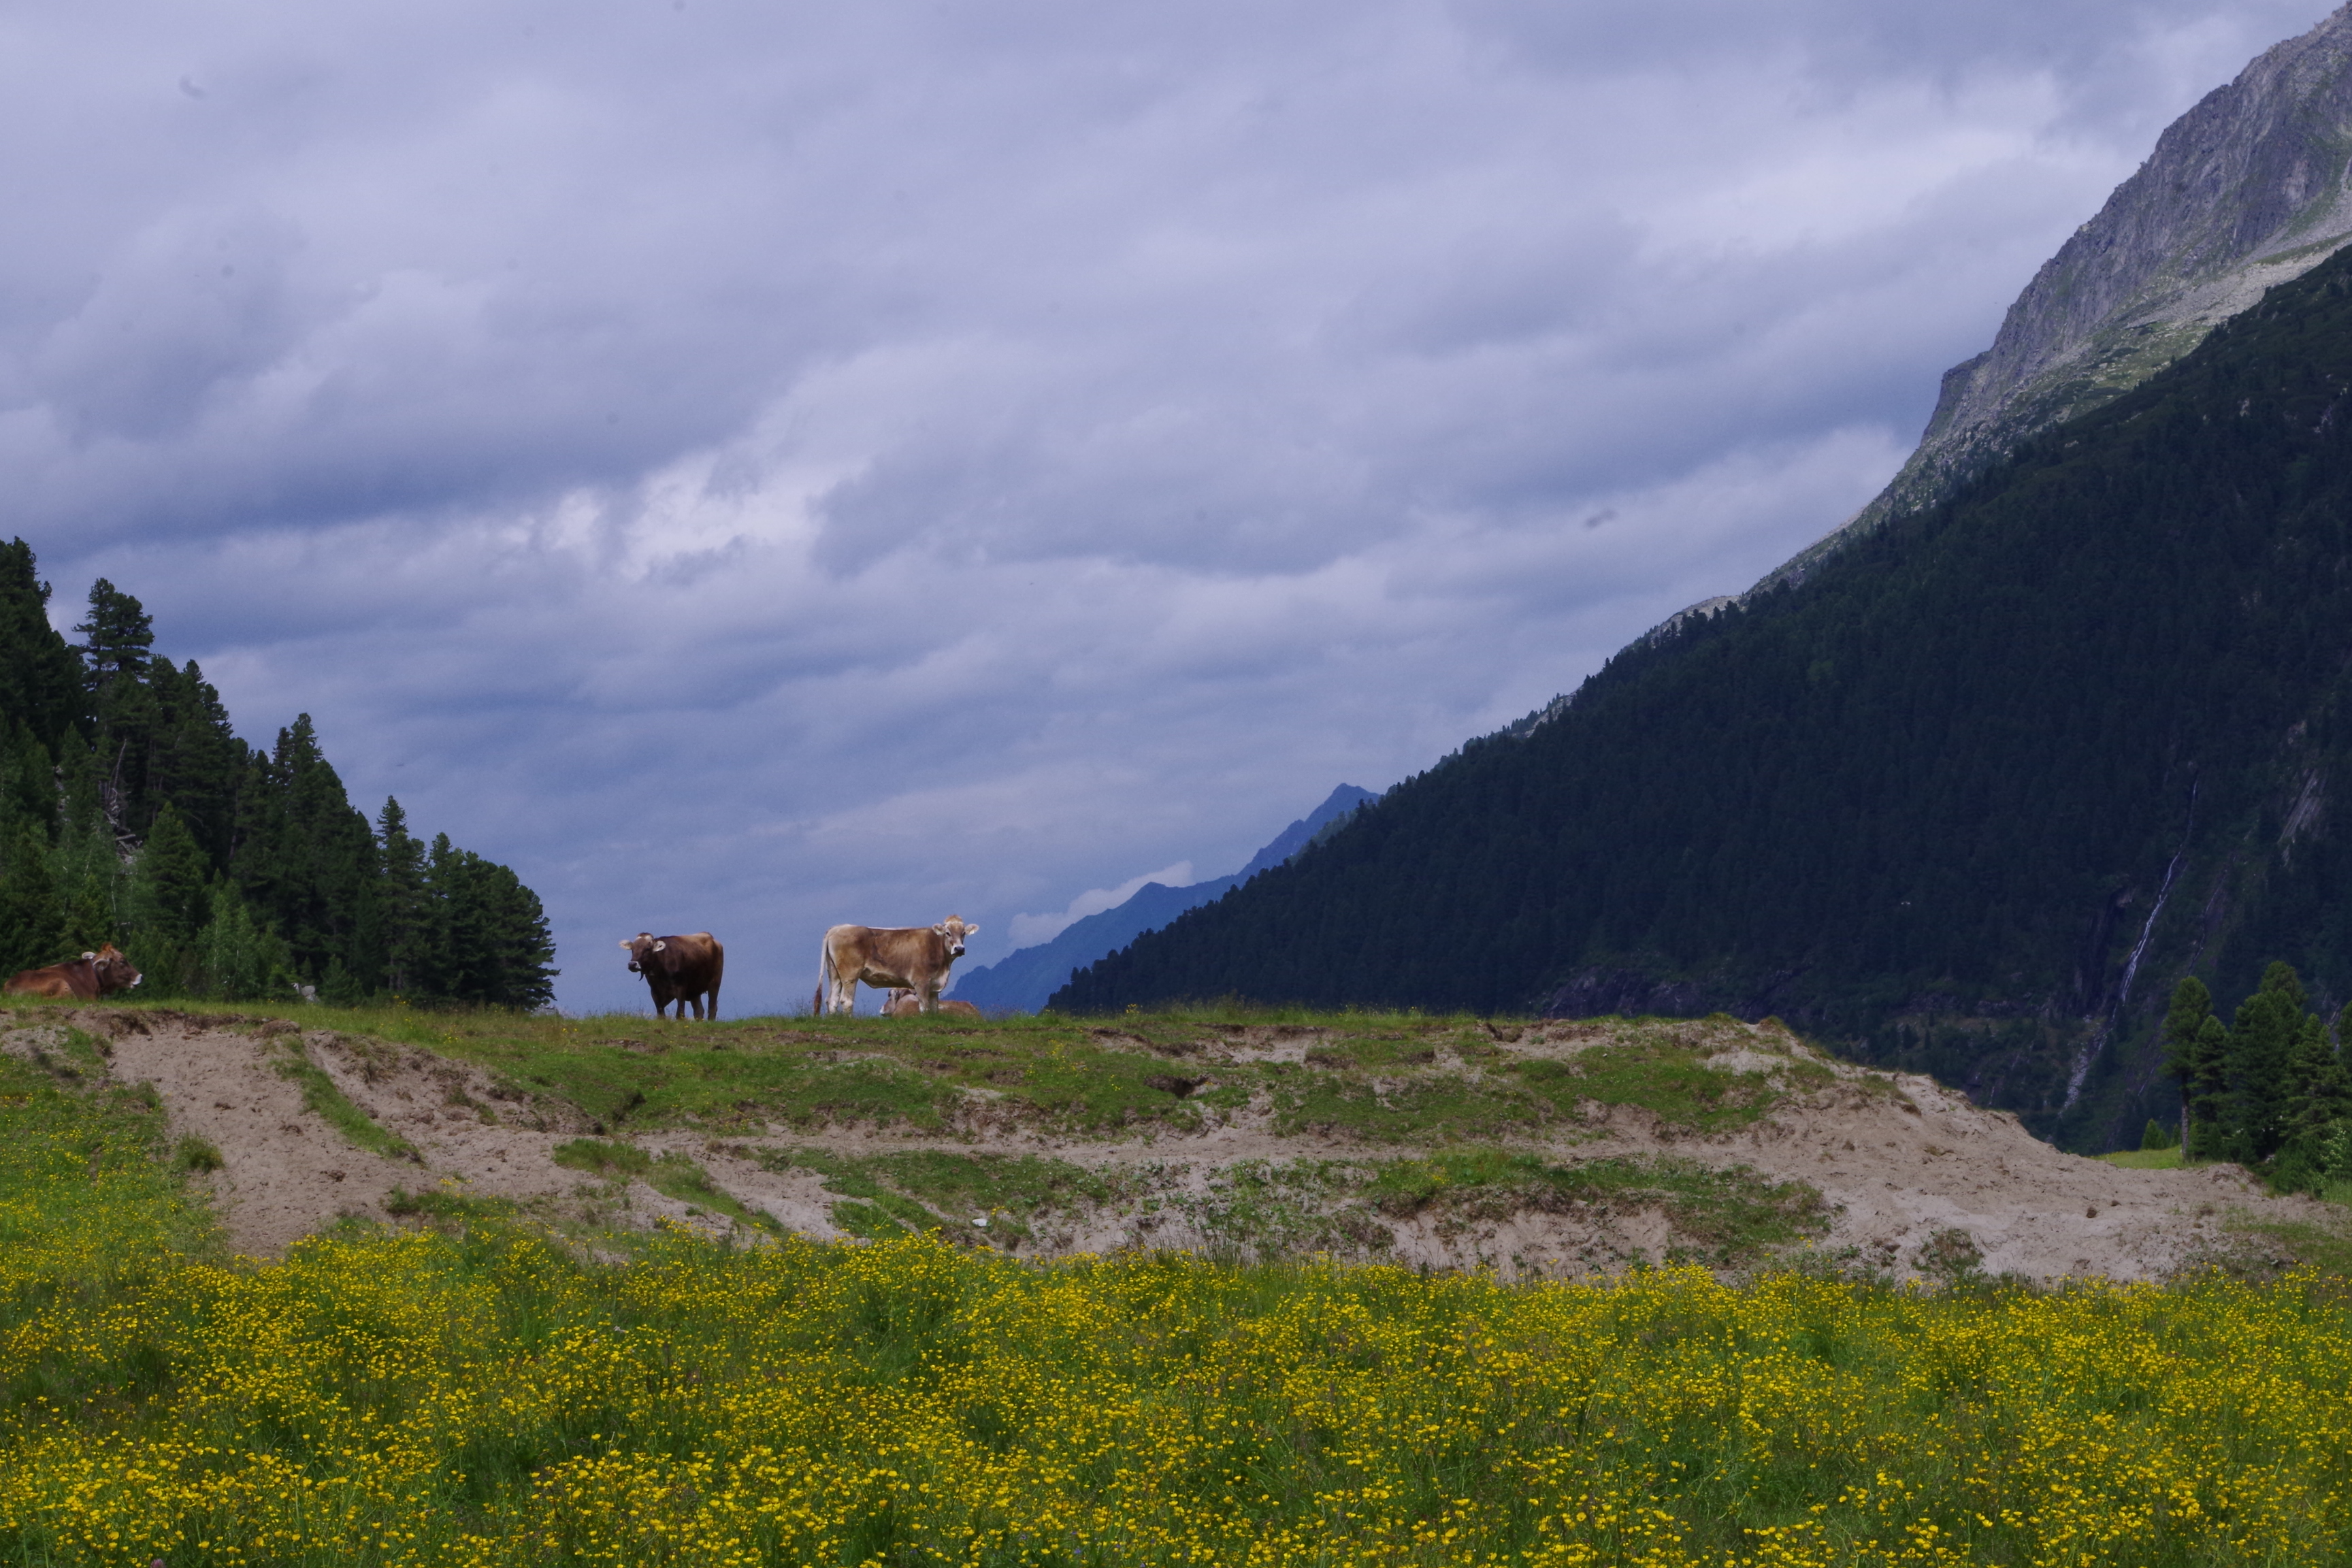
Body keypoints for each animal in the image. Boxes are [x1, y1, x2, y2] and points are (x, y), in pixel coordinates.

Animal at [621, 926, 719, 1025]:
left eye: (648, 949)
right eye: (633, 949)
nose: (632, 964)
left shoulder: (681, 987)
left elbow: (680, 1014)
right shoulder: (654, 991)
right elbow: (661, 1014)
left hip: (715, 982)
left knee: (712, 1007)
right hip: (695, 989)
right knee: (699, 1011)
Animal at [813, 921, 978, 1020]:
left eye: (963, 933)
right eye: (948, 933)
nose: (959, 949)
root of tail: (839, 927)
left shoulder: (934, 985)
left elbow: (934, 1008)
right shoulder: (921, 982)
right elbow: (924, 1007)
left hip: (834, 973)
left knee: (832, 999)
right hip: (850, 974)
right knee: (846, 1000)